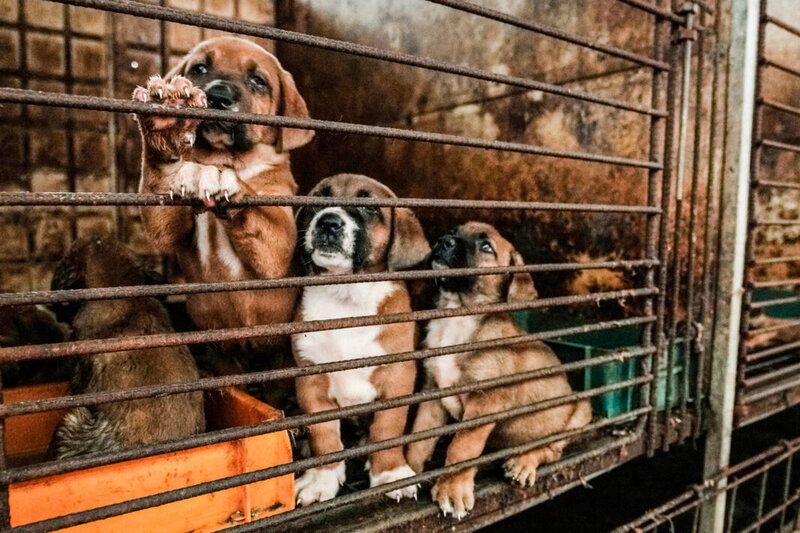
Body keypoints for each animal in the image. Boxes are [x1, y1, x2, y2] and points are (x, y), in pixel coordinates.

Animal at [130, 35, 312, 372]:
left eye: (258, 81)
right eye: (200, 68)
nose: (219, 96)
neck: (224, 158)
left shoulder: (279, 248)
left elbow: (256, 210)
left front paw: (224, 181)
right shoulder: (168, 225)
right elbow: (162, 177)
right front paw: (166, 124)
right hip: (224, 357)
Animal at [292, 176, 432, 508]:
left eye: (369, 207)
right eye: (318, 200)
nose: (328, 222)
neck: (347, 297)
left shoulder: (398, 378)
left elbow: (387, 429)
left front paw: (390, 473)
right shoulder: (310, 383)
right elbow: (323, 436)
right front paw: (321, 479)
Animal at [410, 221, 592, 520]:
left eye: (486, 247)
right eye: (454, 230)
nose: (443, 240)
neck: (458, 317)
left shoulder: (486, 401)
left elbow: (462, 448)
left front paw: (452, 488)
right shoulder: (432, 392)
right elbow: (419, 438)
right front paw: (405, 473)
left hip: (579, 412)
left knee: (550, 450)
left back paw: (523, 463)